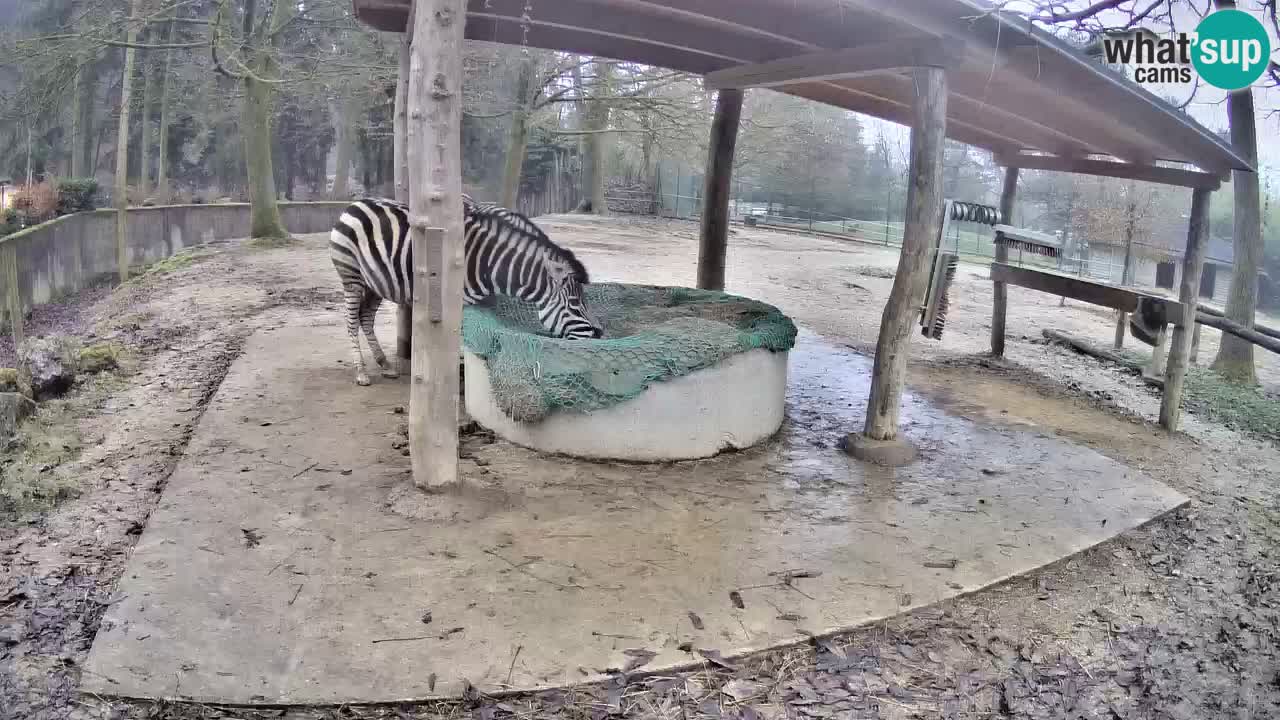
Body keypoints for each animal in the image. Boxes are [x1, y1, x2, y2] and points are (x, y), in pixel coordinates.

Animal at [329, 196, 602, 386]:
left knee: (365, 318)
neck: (490, 263)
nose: (599, 336)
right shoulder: (458, 301)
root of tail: (355, 203)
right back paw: (361, 372)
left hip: (374, 282)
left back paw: (384, 364)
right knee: (351, 320)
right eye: (575, 304)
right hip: (351, 275)